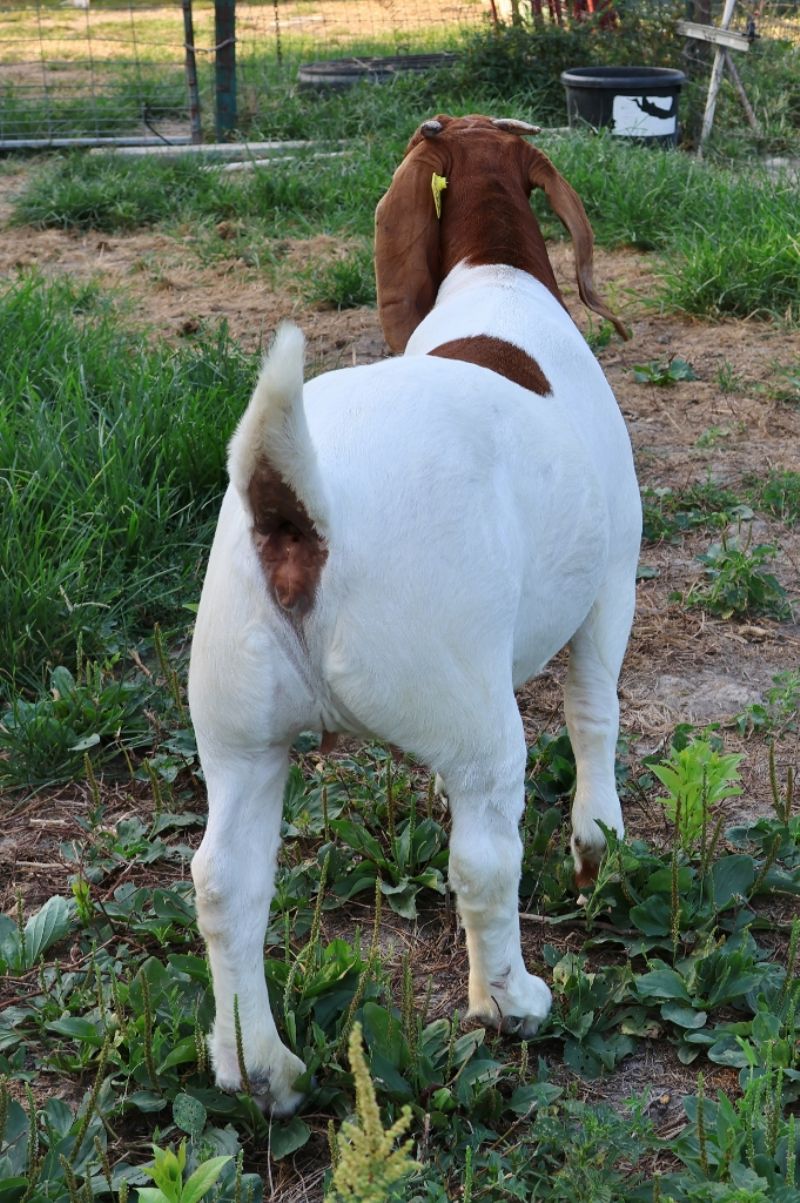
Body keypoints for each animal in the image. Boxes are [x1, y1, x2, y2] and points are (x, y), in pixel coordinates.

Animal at [188, 114, 642, 1116]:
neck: (496, 276)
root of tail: (298, 504)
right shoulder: (612, 581)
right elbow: (596, 713)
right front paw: (599, 839)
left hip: (240, 735)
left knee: (225, 884)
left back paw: (260, 1065)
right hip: (476, 725)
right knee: (482, 862)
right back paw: (511, 1002)